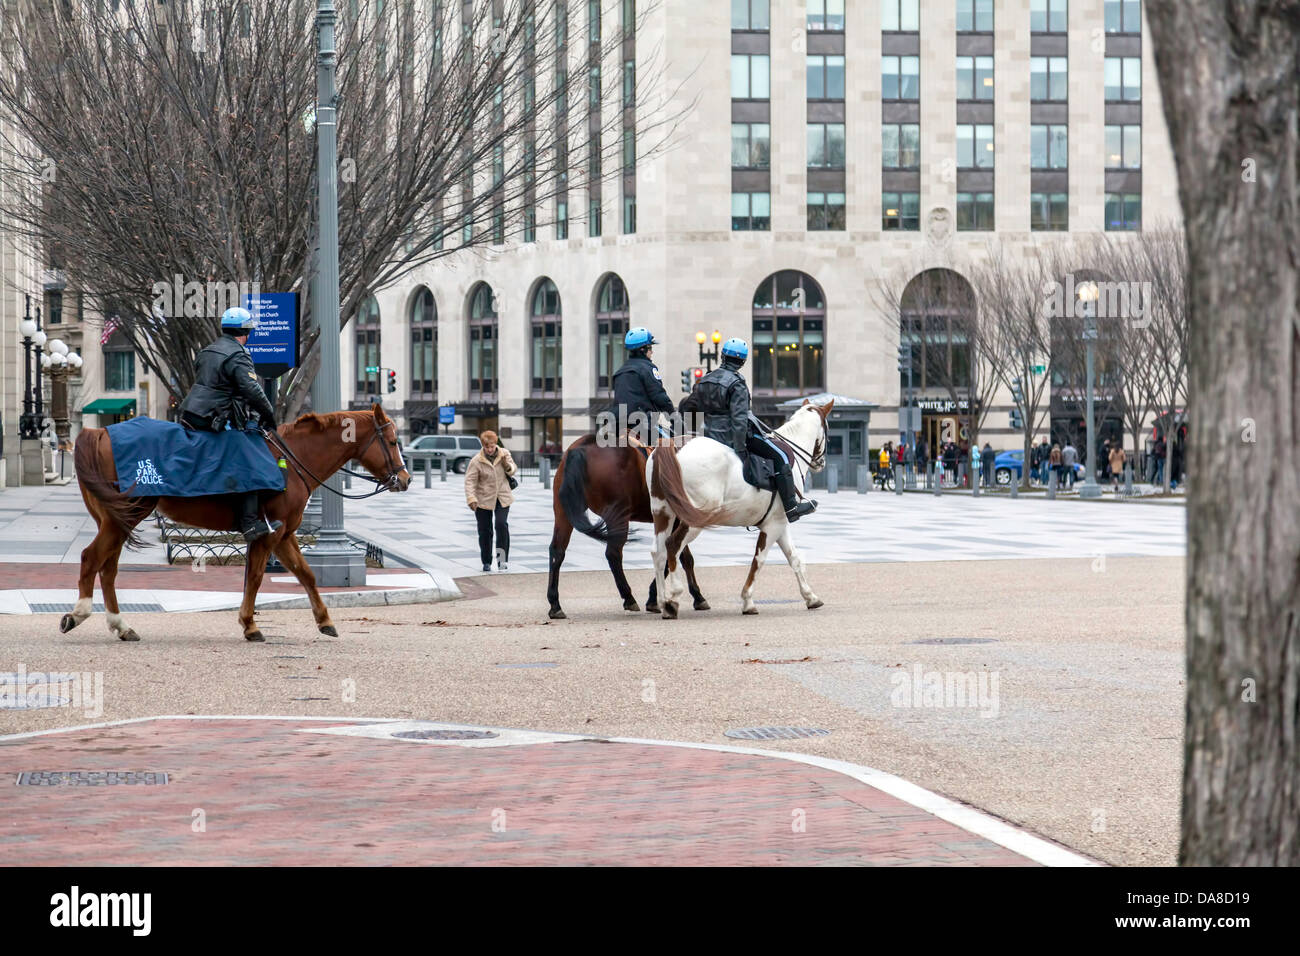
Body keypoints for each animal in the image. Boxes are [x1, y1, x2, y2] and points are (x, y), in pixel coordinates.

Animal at [65, 403, 408, 642]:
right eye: (392, 441)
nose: (405, 479)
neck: (292, 458)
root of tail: (100, 432)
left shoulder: (284, 535)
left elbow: (306, 575)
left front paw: (325, 621)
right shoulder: (269, 535)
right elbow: (255, 577)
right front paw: (250, 624)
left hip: (117, 520)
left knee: (108, 568)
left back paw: (121, 626)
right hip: (124, 517)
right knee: (92, 558)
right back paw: (79, 613)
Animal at [548, 434, 712, 621]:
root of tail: (581, 447)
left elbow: (682, 558)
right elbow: (675, 557)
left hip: (564, 514)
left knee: (557, 552)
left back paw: (555, 604)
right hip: (618, 516)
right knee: (613, 554)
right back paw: (628, 597)